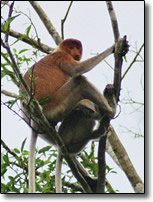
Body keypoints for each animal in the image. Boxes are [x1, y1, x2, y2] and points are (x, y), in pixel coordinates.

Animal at [20, 38, 116, 193]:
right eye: (71, 47)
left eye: (77, 47)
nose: (76, 52)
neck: (59, 50)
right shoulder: (62, 57)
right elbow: (78, 70)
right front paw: (116, 47)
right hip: (56, 106)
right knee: (80, 82)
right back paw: (109, 110)